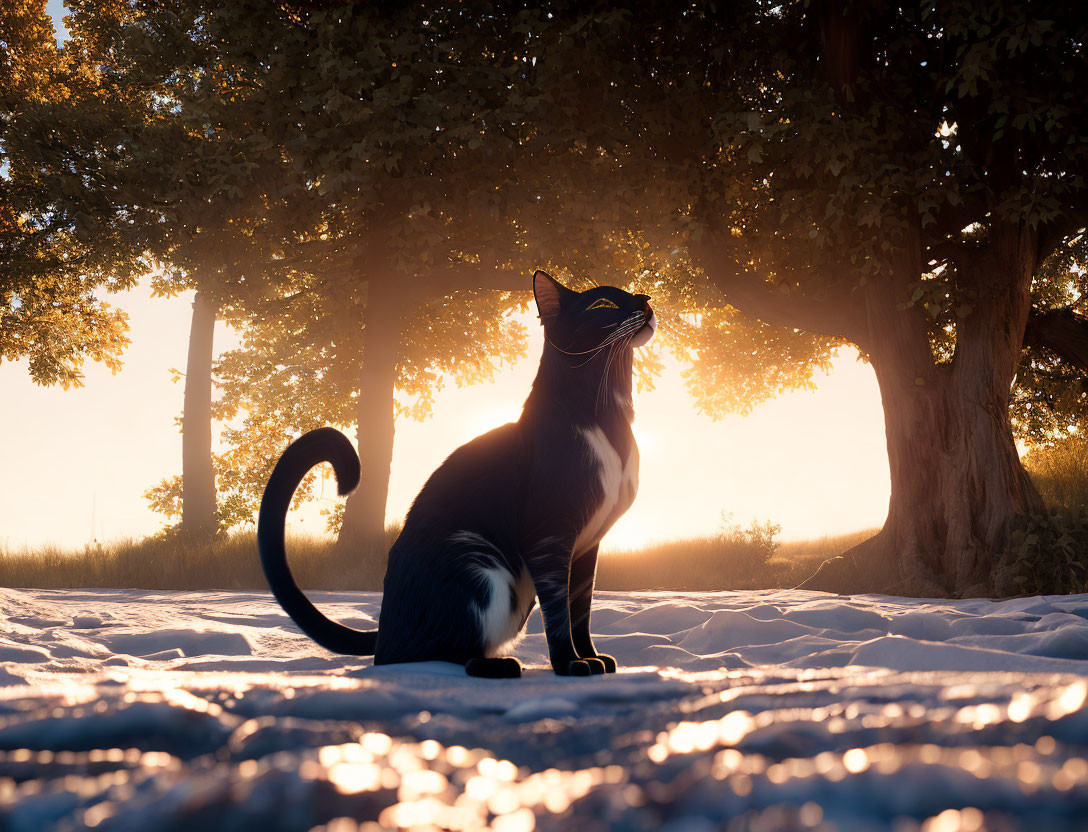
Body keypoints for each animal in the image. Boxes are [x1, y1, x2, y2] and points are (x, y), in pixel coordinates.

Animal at [256, 270, 652, 674]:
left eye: (635, 294)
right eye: (603, 304)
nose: (647, 300)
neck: (609, 414)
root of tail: (384, 628)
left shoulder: (587, 548)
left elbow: (581, 610)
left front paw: (592, 657)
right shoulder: (550, 534)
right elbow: (559, 612)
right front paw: (570, 664)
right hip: (479, 566)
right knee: (431, 652)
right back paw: (499, 667)